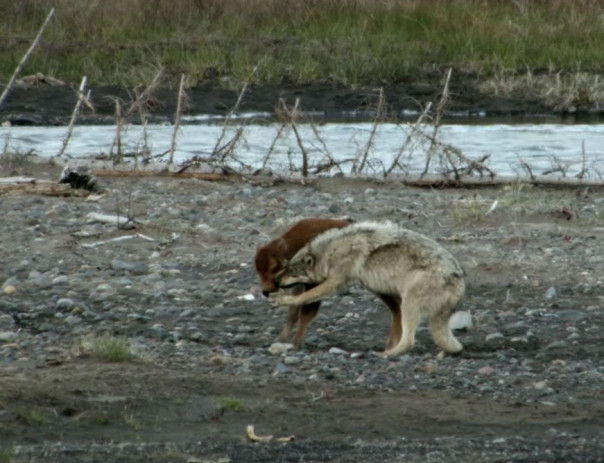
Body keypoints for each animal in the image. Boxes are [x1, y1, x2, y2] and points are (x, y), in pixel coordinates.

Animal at [255, 218, 352, 348]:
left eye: (274, 267)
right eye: (258, 269)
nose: (266, 291)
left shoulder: (313, 285)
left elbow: (307, 312)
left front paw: (296, 344)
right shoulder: (297, 286)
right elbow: (293, 311)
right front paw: (281, 339)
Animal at [270, 221, 465, 357]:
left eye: (290, 271)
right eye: (285, 268)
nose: (275, 280)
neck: (330, 251)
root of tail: (458, 276)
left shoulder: (335, 282)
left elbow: (305, 296)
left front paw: (284, 300)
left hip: (409, 305)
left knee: (409, 341)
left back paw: (385, 355)